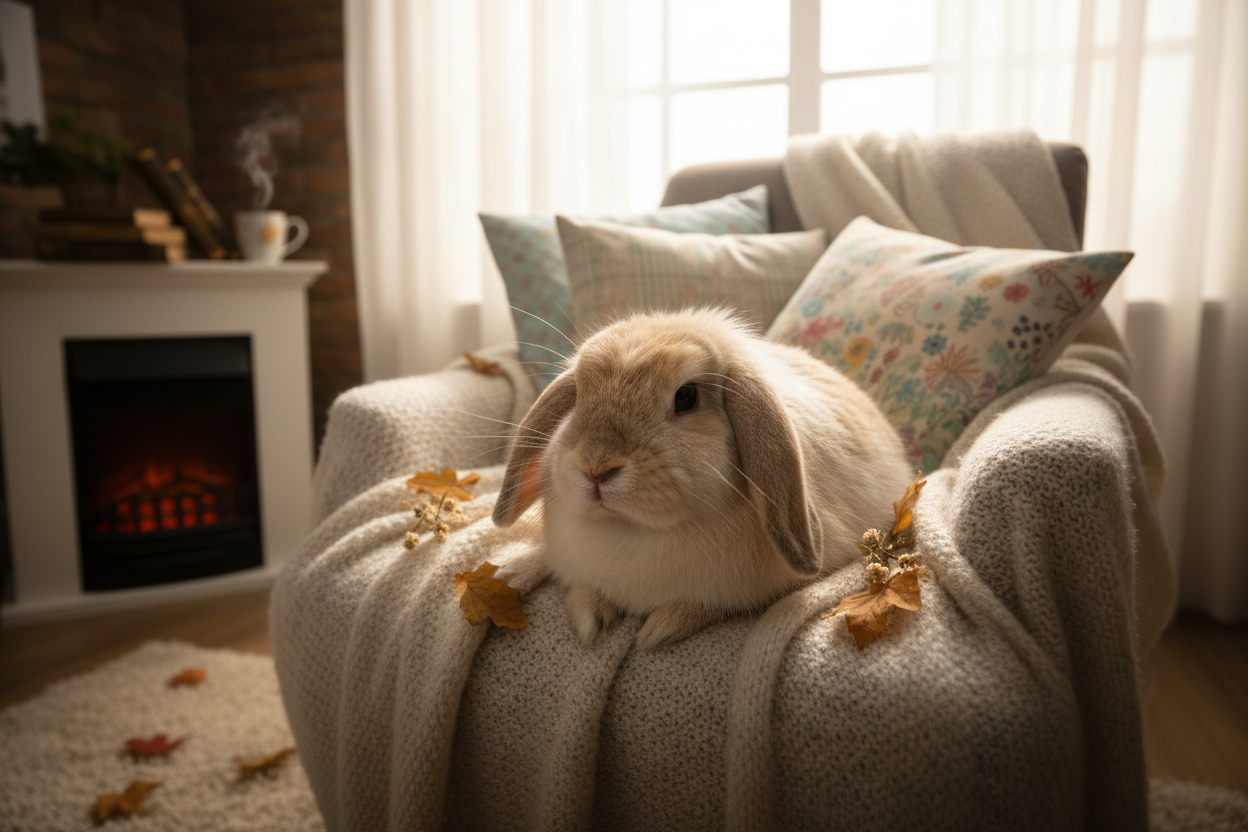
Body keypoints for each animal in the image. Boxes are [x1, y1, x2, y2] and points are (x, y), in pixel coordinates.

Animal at [492, 307, 914, 650]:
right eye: (578, 395)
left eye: (686, 397)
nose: (595, 467)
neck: (633, 530)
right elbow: (586, 593)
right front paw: (590, 620)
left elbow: (701, 608)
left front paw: (659, 630)